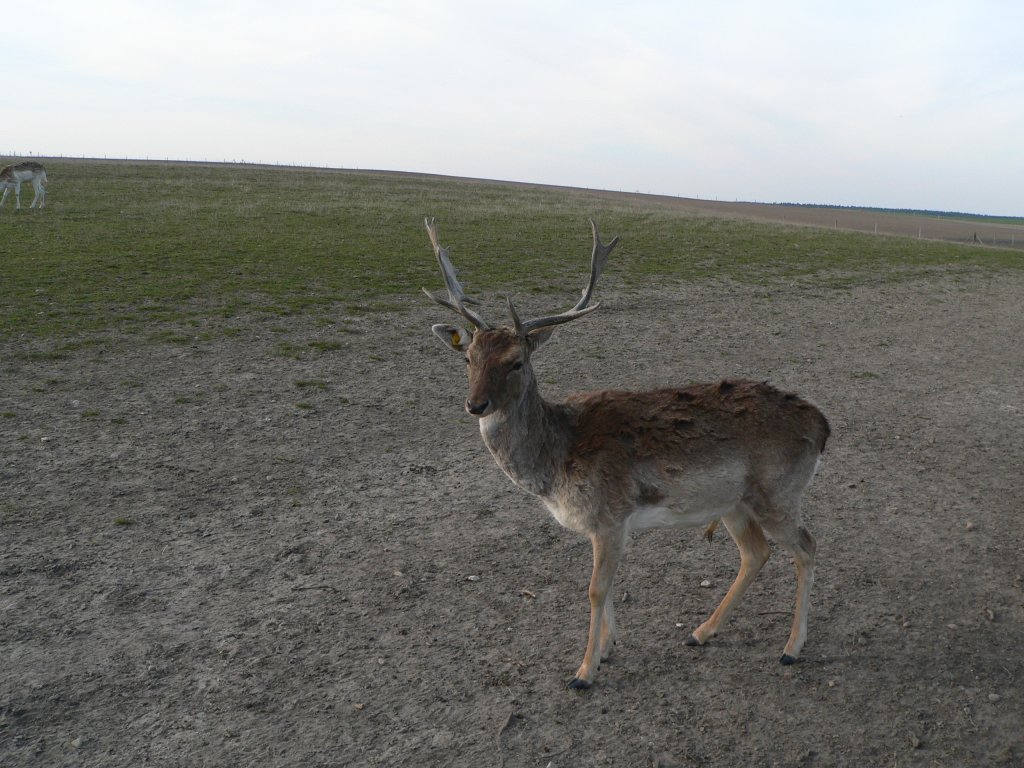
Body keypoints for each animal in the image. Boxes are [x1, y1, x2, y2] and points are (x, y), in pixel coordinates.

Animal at [423, 218, 831, 692]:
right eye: (468, 358)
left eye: (517, 362)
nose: (476, 405)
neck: (556, 462)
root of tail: (823, 426)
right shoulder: (603, 526)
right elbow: (608, 585)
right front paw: (608, 648)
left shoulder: (610, 515)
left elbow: (595, 589)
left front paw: (584, 672)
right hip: (733, 503)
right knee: (756, 553)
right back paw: (702, 632)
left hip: (777, 494)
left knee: (806, 546)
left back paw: (791, 648)